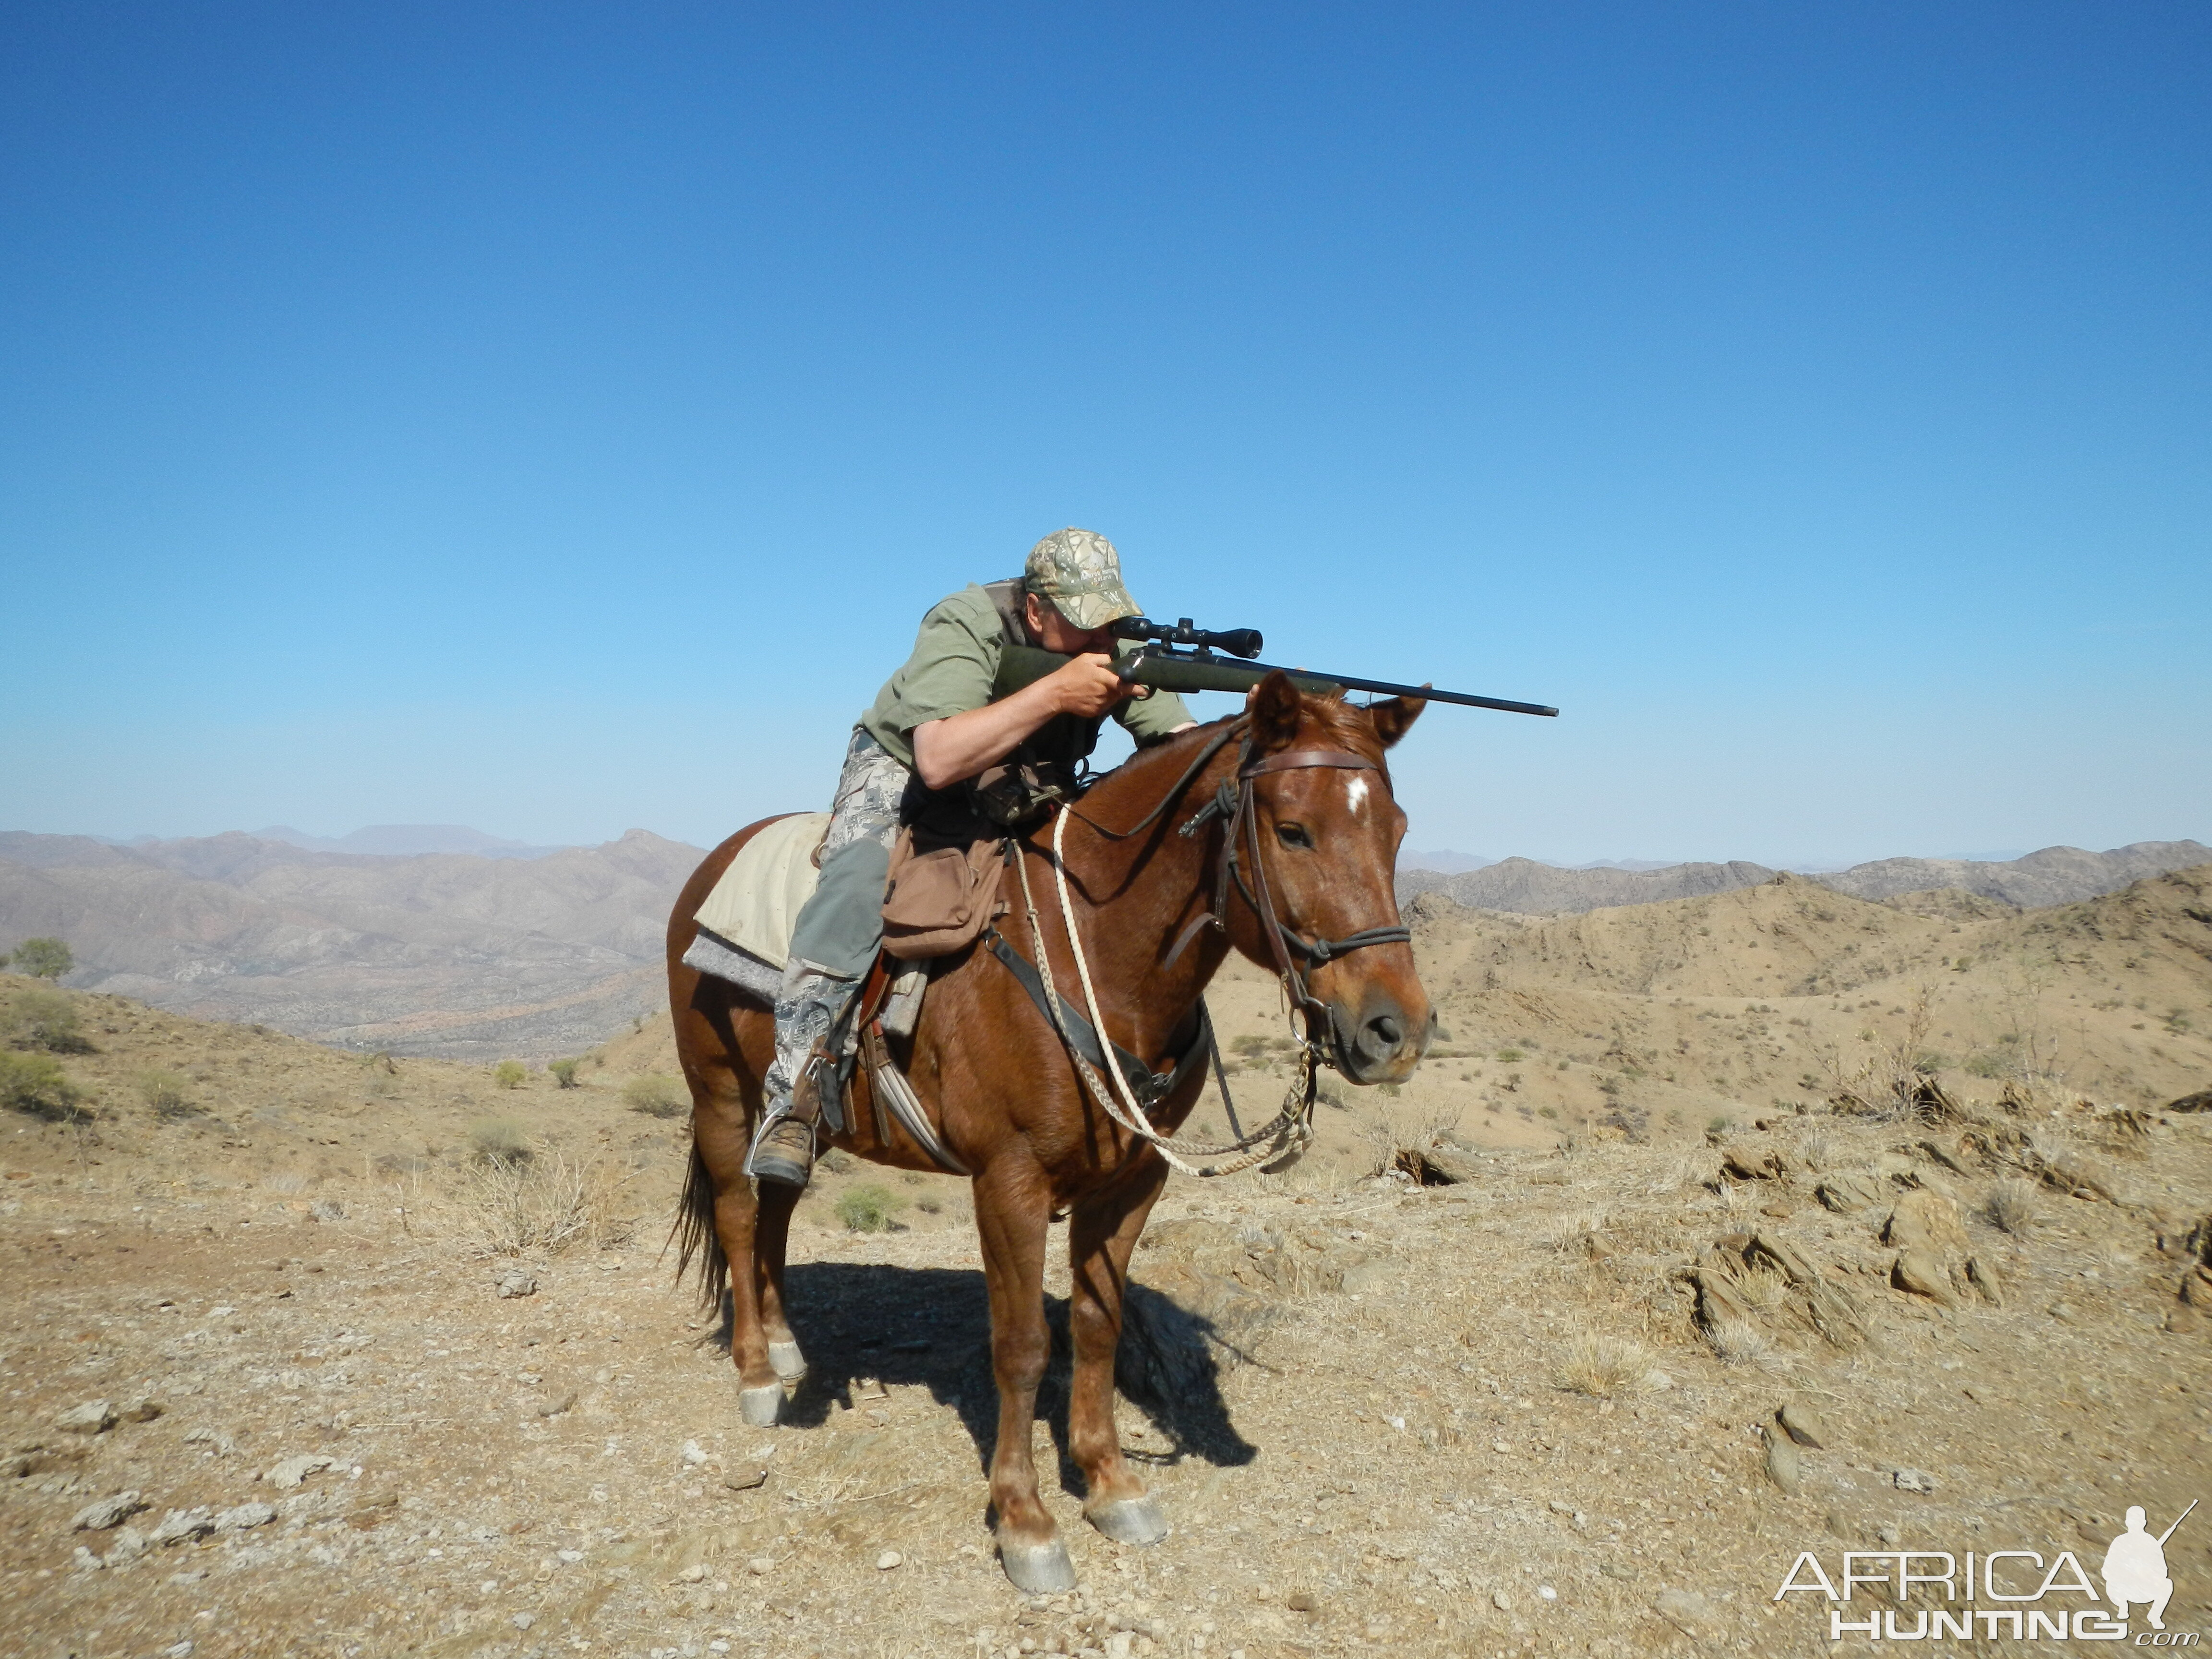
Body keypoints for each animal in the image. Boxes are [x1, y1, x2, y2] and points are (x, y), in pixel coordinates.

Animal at [663, 677, 1424, 1601]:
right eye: (1292, 830)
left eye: (1395, 830)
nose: (1394, 1031)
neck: (1087, 950)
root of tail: (712, 863)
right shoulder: (1009, 1183)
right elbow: (1023, 1347)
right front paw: (1025, 1521)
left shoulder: (1131, 1183)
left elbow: (1097, 1326)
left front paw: (1111, 1486)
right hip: (719, 1096)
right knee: (740, 1216)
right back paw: (757, 1373)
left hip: (801, 1122)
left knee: (775, 1202)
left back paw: (784, 1344)